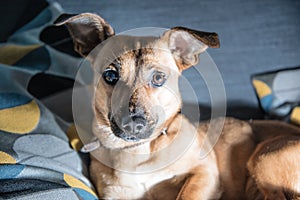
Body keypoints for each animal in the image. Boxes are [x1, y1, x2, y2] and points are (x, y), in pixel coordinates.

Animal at [55, 13, 300, 199]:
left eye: (158, 78)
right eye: (110, 76)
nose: (133, 124)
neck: (140, 152)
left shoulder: (205, 174)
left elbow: (186, 194)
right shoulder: (114, 194)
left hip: (264, 159)